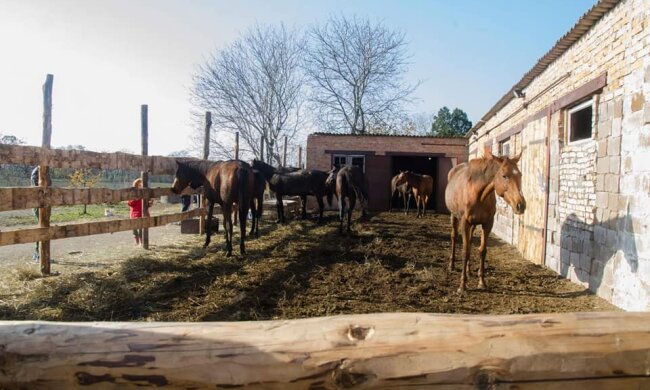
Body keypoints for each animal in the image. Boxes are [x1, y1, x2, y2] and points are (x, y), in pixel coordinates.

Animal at [446, 151, 528, 294]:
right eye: (504, 175)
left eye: (520, 174)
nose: (520, 205)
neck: (477, 193)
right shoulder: (465, 223)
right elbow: (465, 251)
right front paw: (462, 285)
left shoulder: (487, 224)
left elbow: (482, 250)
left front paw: (481, 282)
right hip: (454, 217)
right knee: (454, 237)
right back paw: (452, 265)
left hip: (473, 224)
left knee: (470, 241)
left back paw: (468, 271)